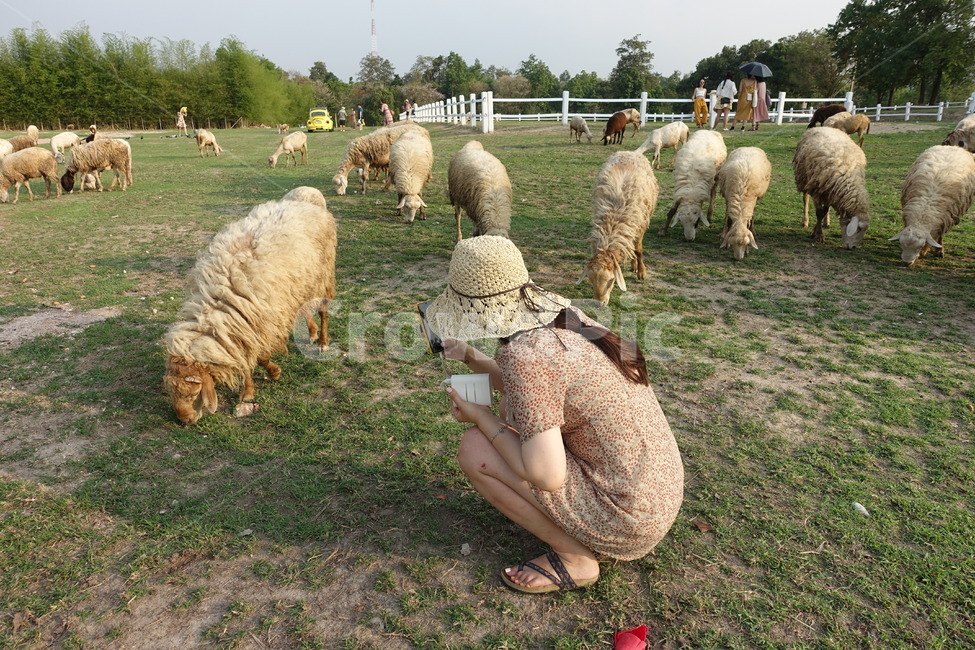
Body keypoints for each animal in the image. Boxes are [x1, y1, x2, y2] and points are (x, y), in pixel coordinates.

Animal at [162, 192, 337, 425]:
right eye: (171, 392)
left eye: (193, 393)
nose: (185, 420)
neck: (219, 301)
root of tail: (306, 203)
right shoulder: (243, 328)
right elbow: (245, 361)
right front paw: (248, 393)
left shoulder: (261, 321)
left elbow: (261, 358)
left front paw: (274, 372)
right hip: (299, 285)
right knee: (303, 308)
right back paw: (311, 332)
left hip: (323, 275)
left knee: (323, 310)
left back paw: (323, 342)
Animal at [578, 141, 659, 306]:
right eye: (590, 280)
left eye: (611, 280)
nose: (600, 304)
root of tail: (632, 152)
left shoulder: (639, 227)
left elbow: (639, 250)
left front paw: (642, 273)